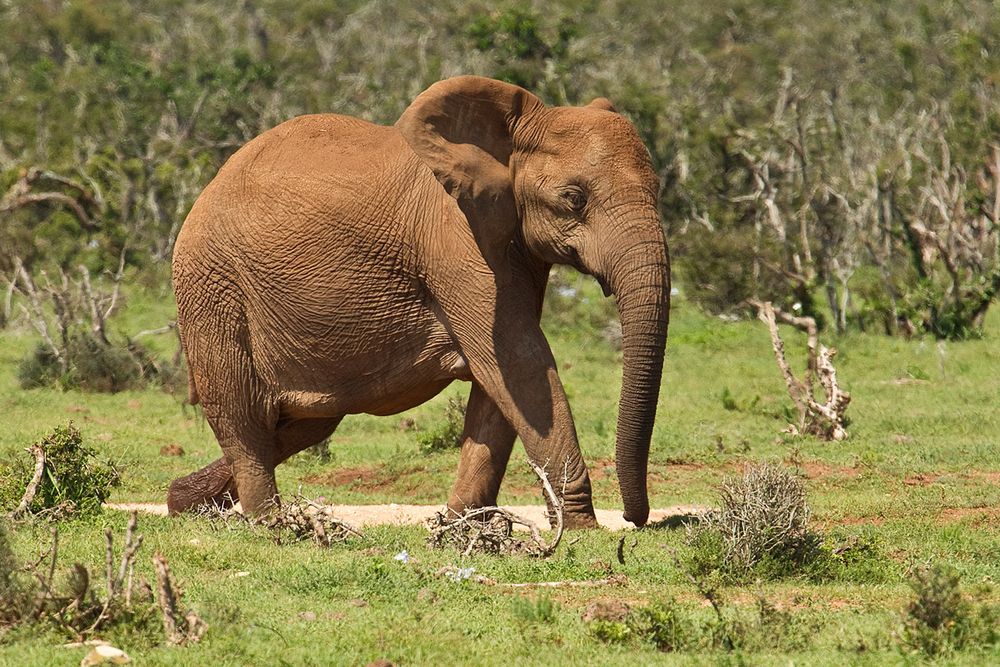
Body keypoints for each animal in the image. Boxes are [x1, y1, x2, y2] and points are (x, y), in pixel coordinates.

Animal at [168, 77, 672, 528]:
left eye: (658, 189)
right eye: (573, 199)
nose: (635, 519)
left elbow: (503, 383)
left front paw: (461, 526)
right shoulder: (454, 240)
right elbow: (520, 361)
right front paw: (582, 531)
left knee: (305, 422)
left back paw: (185, 501)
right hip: (213, 286)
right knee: (242, 414)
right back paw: (270, 525)